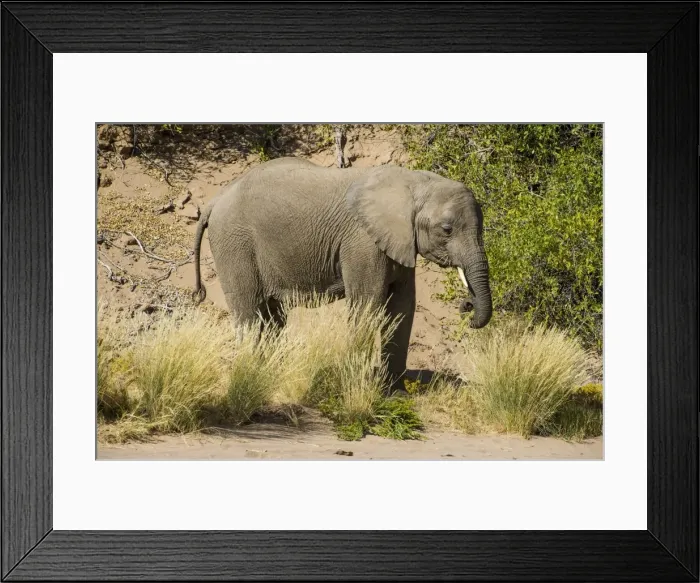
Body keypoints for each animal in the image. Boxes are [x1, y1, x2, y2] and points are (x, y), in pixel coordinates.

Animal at [192, 156, 492, 387]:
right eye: (447, 230)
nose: (466, 306)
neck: (414, 182)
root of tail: (214, 201)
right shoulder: (362, 242)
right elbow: (367, 304)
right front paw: (358, 384)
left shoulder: (399, 242)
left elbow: (402, 307)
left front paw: (395, 392)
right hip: (235, 243)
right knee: (249, 311)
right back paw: (251, 372)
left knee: (272, 316)